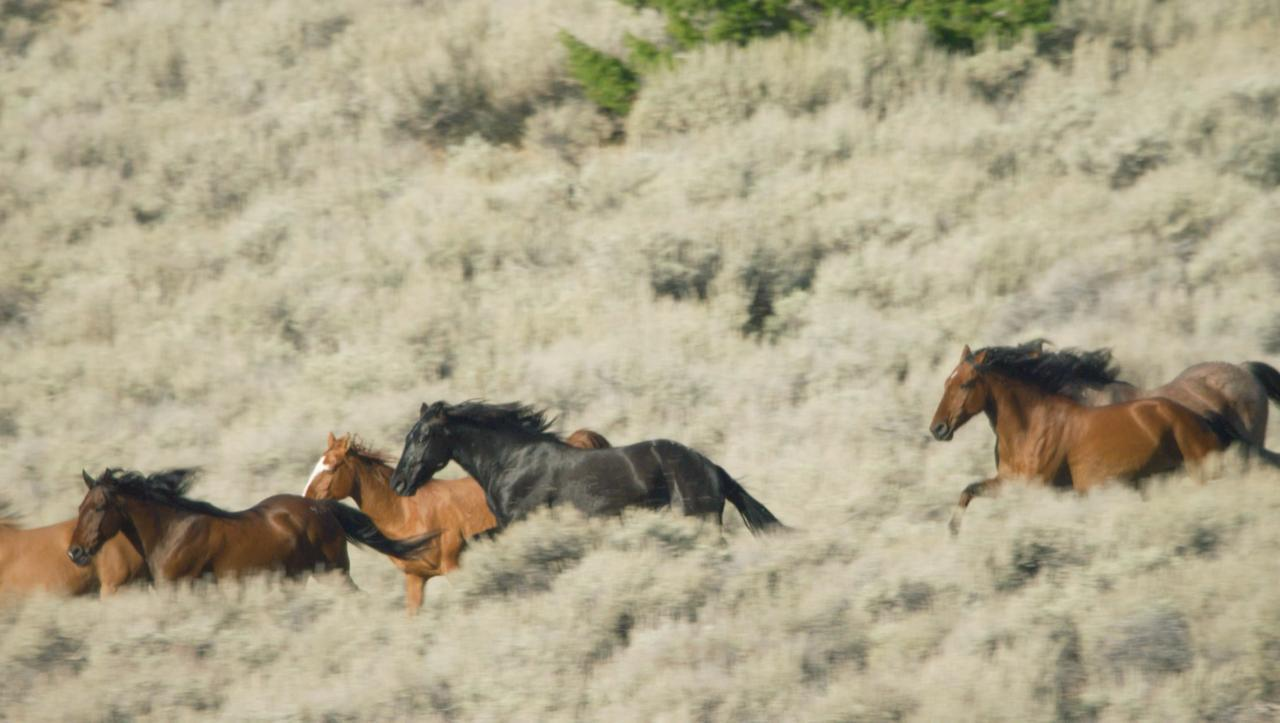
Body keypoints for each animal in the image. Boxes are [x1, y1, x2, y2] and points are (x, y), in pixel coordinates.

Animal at [66, 468, 435, 580]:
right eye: (79, 506)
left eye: (99, 506)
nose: (74, 553)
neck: (172, 532)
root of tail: (319, 506)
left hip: (334, 571)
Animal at [304, 424, 614, 611]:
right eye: (318, 462)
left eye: (332, 466)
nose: (306, 498)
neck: (407, 512)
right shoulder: (416, 578)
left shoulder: (453, 568)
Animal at [931, 340, 1249, 532]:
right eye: (946, 382)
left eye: (966, 384)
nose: (937, 429)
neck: (1031, 425)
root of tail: (1203, 417)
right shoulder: (1006, 481)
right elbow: (968, 490)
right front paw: (952, 532)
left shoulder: (1034, 486)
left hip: (1200, 472)